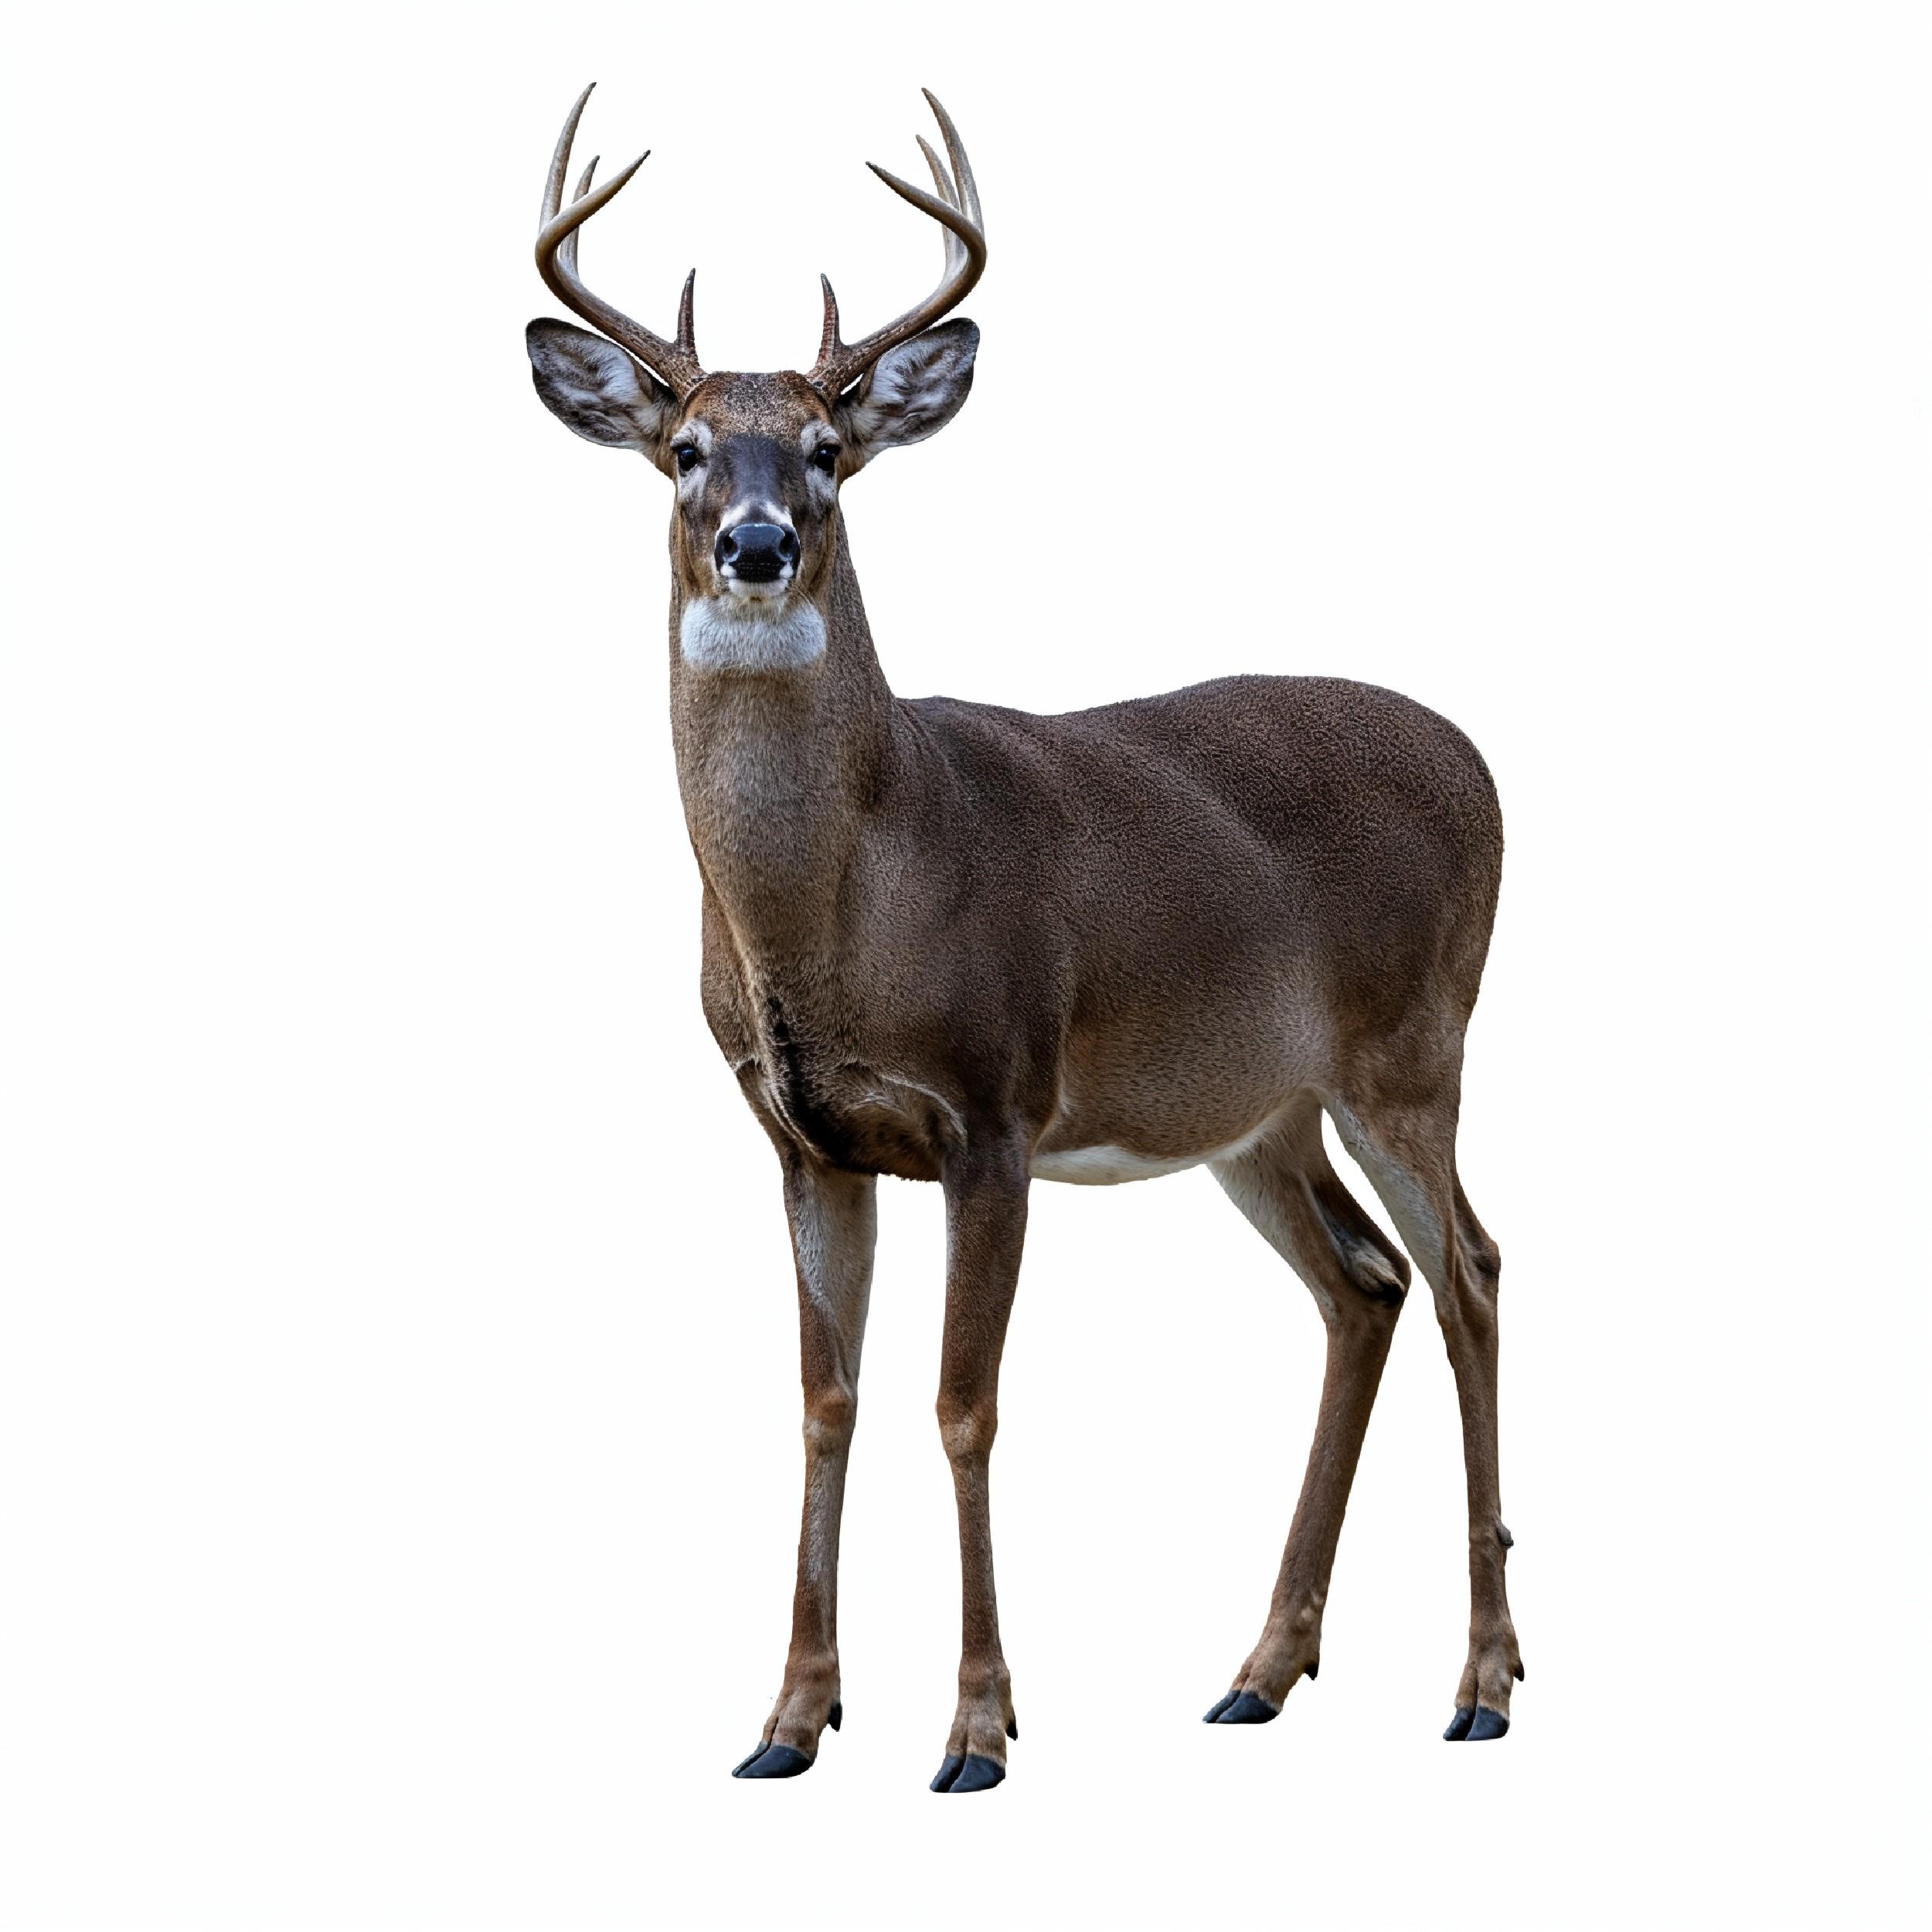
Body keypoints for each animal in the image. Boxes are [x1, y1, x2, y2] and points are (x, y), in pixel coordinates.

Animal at [524, 84, 1524, 1793]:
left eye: (829, 452)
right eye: (684, 450)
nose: (756, 544)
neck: (837, 911)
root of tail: (1481, 761)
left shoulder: (992, 1104)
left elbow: (963, 1404)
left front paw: (978, 1728)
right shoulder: (805, 1136)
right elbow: (827, 1400)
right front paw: (788, 1719)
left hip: (1413, 1047)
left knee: (1469, 1267)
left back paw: (1481, 1681)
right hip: (1256, 1108)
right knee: (1364, 1283)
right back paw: (1261, 1669)